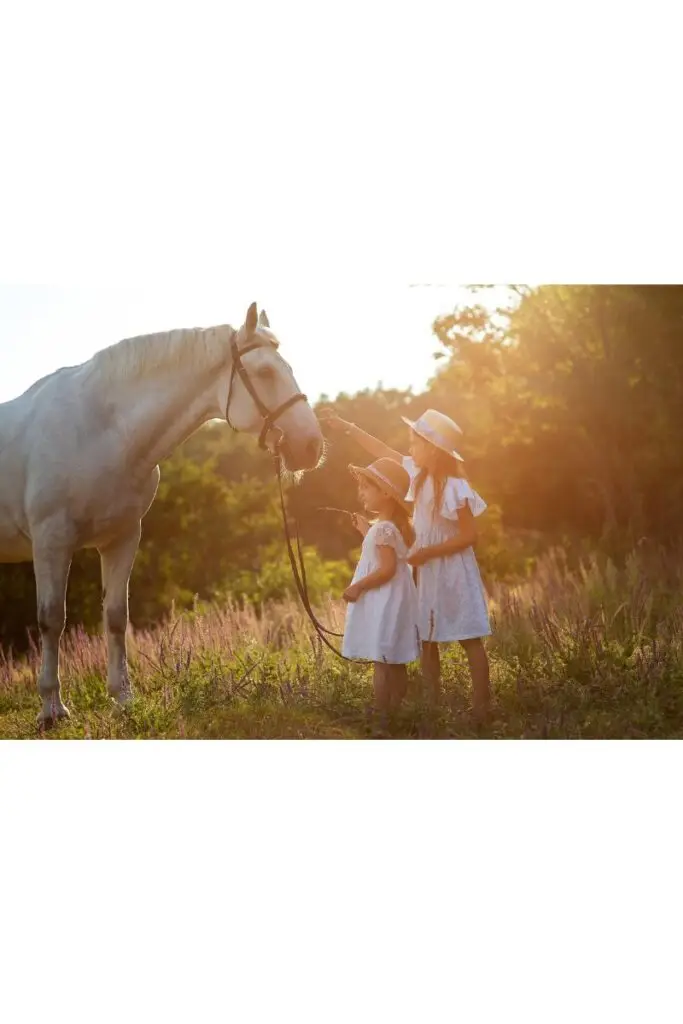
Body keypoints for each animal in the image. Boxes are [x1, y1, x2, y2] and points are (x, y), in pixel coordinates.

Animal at [0, 303, 323, 729]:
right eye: (265, 372)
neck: (102, 430)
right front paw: (52, 709)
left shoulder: (122, 538)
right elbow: (53, 619)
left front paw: (123, 698)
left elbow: (116, 616)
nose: (312, 446)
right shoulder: (52, 541)